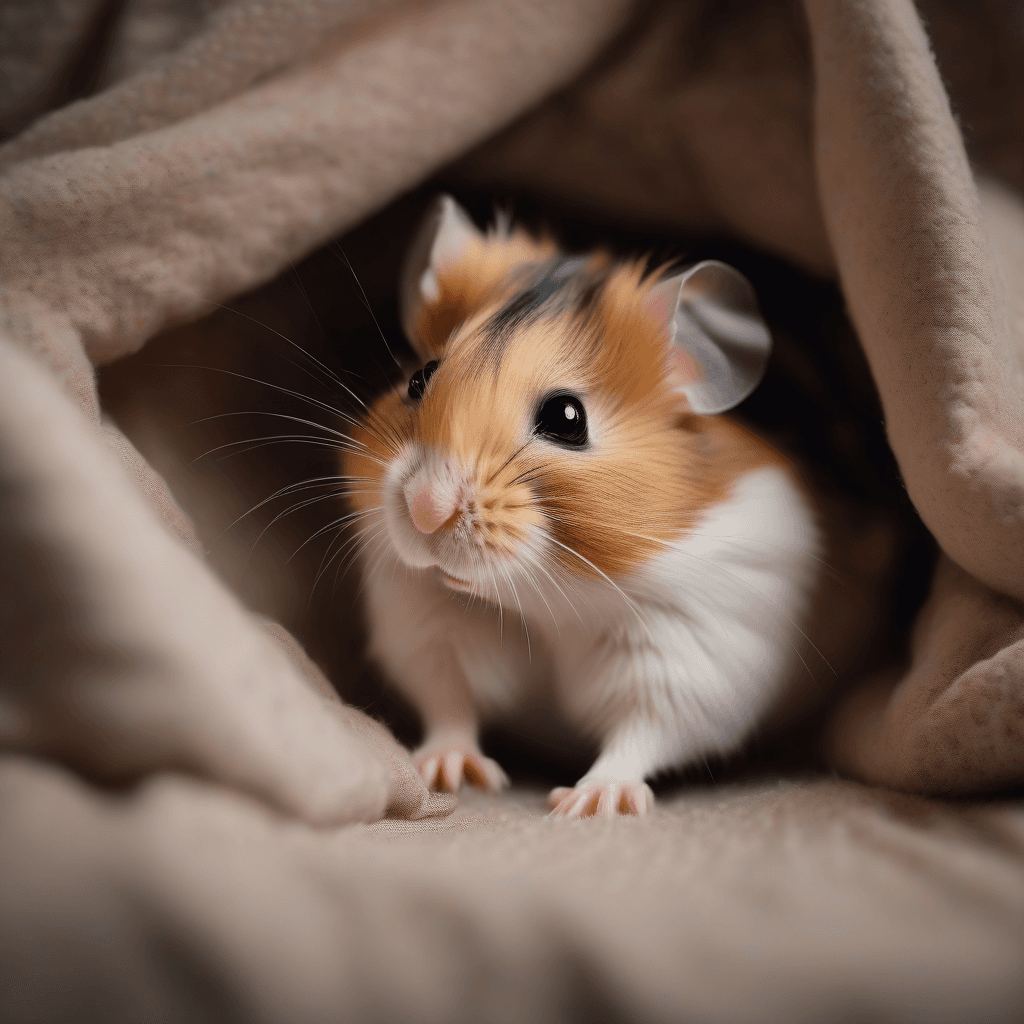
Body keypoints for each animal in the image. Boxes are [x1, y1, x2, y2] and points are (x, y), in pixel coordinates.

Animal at [343, 195, 821, 818]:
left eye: (568, 419)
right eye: (419, 379)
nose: (425, 508)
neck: (551, 602)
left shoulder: (689, 655)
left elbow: (641, 733)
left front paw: (586, 803)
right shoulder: (432, 625)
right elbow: (450, 701)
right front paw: (449, 773)